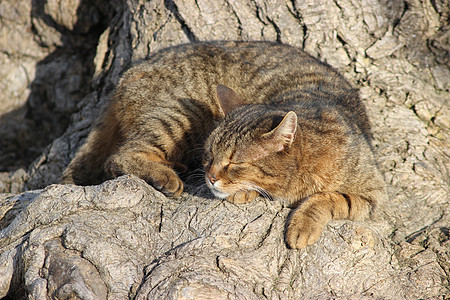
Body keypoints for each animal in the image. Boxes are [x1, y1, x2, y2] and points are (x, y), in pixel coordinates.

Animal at [61, 41, 388, 250]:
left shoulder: (373, 195)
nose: (209, 177)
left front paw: (302, 225)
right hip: (182, 114)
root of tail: (126, 76)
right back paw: (165, 174)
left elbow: (328, 198)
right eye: (209, 156)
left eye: (235, 162)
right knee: (119, 157)